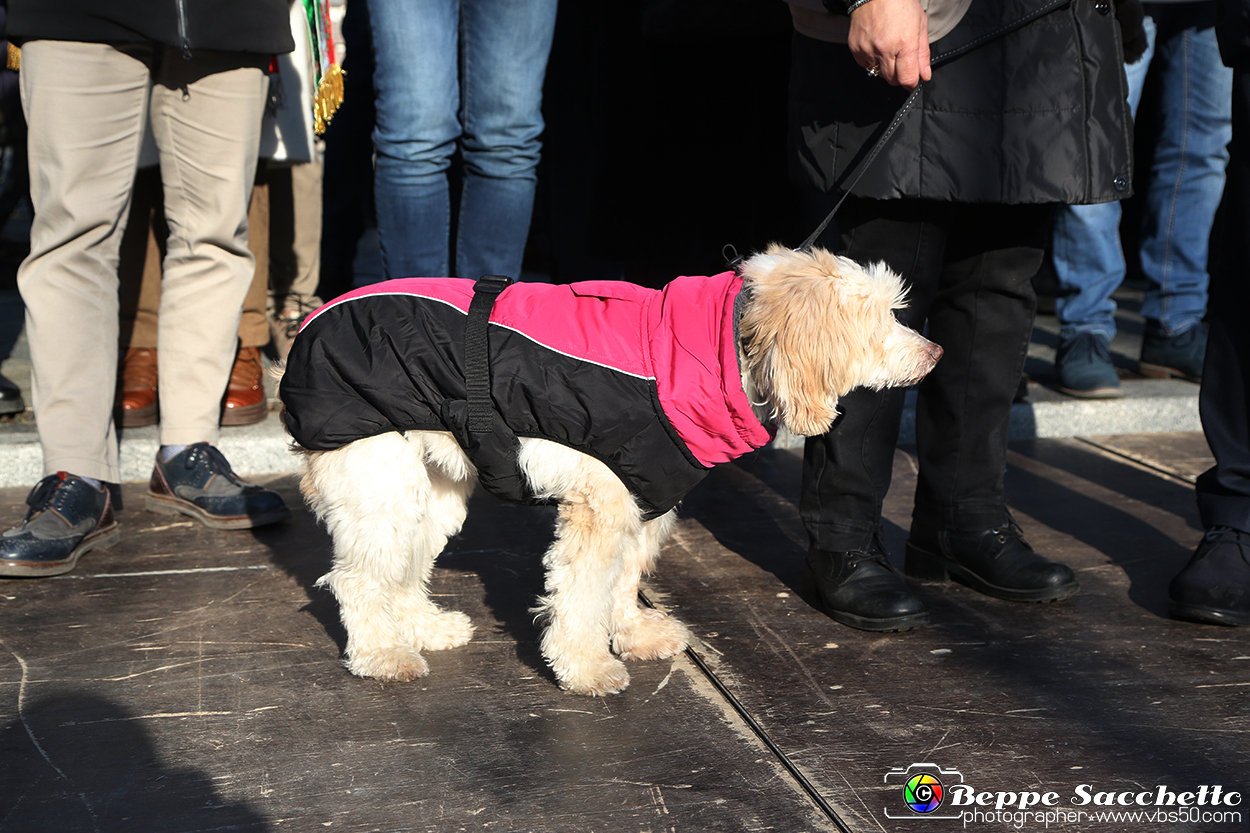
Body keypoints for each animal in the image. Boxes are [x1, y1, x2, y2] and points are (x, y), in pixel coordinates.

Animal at [281, 245, 940, 695]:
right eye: (882, 318)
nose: (936, 354)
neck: (710, 349)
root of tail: (308, 330)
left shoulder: (642, 501)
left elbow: (621, 582)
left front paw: (632, 635)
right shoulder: (601, 507)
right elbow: (581, 593)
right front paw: (586, 667)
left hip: (432, 493)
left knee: (403, 569)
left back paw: (422, 628)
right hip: (381, 489)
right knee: (358, 581)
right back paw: (382, 656)